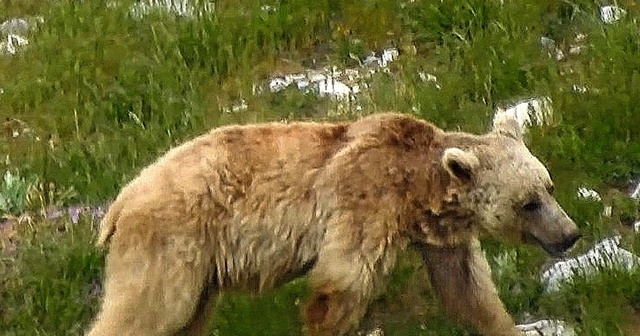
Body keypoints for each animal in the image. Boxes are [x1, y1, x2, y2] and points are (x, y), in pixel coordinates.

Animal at [85, 113, 580, 336]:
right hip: (174, 243)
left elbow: (468, 291)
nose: (570, 234)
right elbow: (339, 286)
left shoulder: (440, 236)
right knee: (148, 311)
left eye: (548, 186)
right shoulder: (364, 202)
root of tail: (120, 201)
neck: (416, 190)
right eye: (528, 203)